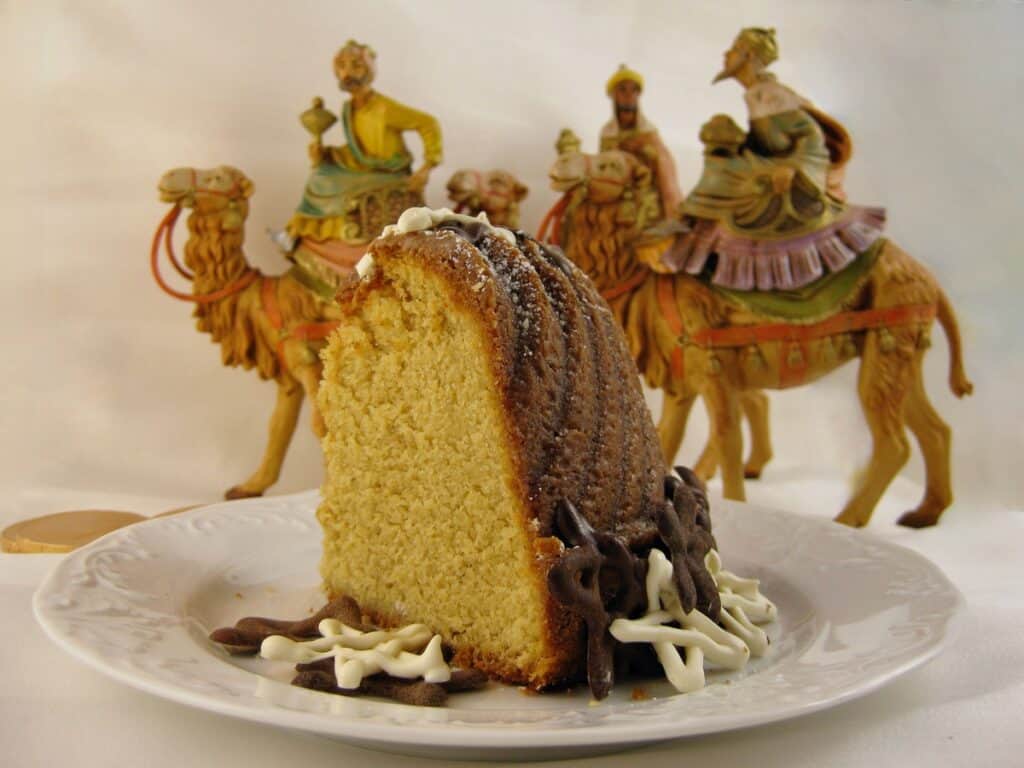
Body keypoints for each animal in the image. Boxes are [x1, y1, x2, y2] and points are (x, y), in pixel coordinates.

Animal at [155, 166, 339, 499]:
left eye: (215, 179)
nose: (170, 177)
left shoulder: (306, 359)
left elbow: (321, 425)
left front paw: (330, 488)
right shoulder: (290, 371)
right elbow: (279, 427)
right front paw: (248, 487)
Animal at [548, 153, 970, 532]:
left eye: (608, 164)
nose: (562, 164)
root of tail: (928, 279)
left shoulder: (712, 369)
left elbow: (727, 437)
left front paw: (734, 498)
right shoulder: (682, 380)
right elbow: (668, 437)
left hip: (886, 349)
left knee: (894, 442)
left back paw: (849, 518)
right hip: (900, 351)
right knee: (935, 428)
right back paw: (926, 512)